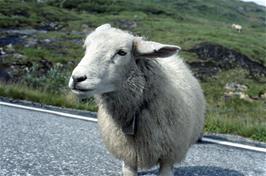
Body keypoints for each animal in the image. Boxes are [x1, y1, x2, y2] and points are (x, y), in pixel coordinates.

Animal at [68, 23, 206, 176]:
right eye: (86, 47)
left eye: (122, 52)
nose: (77, 78)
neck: (135, 110)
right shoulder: (128, 155)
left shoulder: (168, 156)